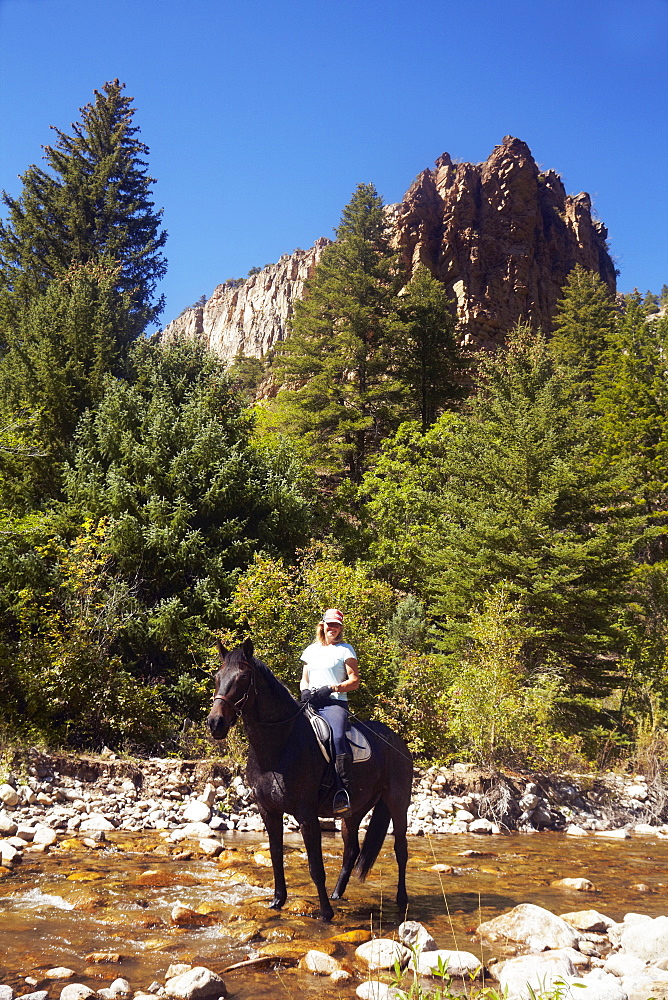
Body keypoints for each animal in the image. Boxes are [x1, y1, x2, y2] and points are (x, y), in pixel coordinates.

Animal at [206, 640, 412, 920]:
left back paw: (402, 900)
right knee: (351, 851)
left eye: (243, 678)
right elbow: (276, 856)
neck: (280, 745)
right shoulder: (268, 811)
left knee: (401, 849)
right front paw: (277, 901)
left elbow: (316, 866)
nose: (215, 723)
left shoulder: (306, 814)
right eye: (217, 678)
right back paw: (337, 894)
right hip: (353, 810)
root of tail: (398, 742)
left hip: (398, 803)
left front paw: (325, 913)